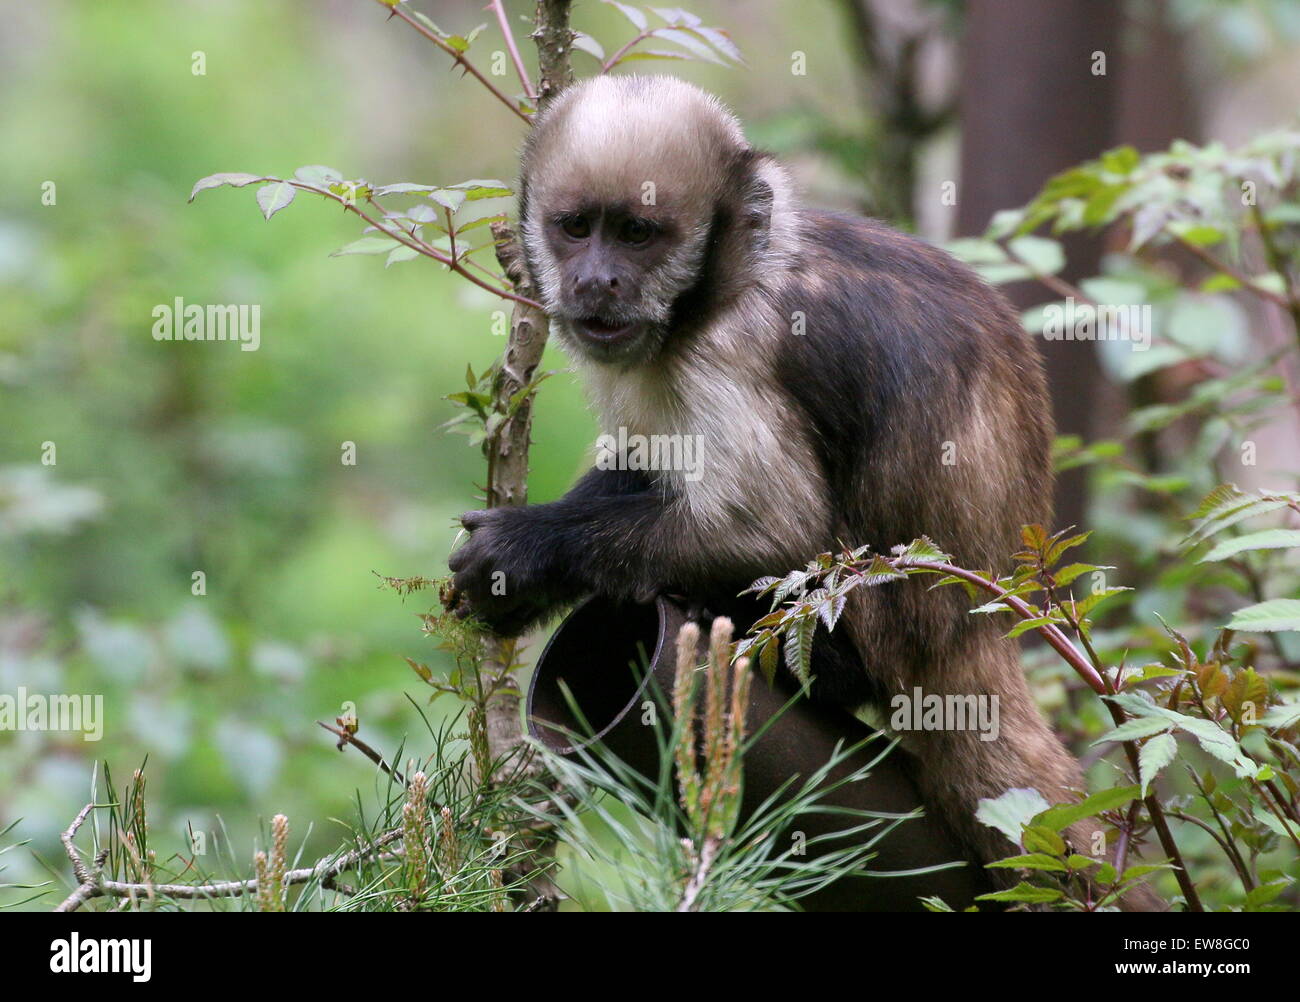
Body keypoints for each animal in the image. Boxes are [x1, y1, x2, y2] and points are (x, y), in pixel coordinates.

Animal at [447, 76, 1159, 909]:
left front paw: (526, 554)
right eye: (575, 229)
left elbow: (770, 528)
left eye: (636, 233)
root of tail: (982, 634)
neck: (723, 285)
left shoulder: (732, 348)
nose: (596, 280)